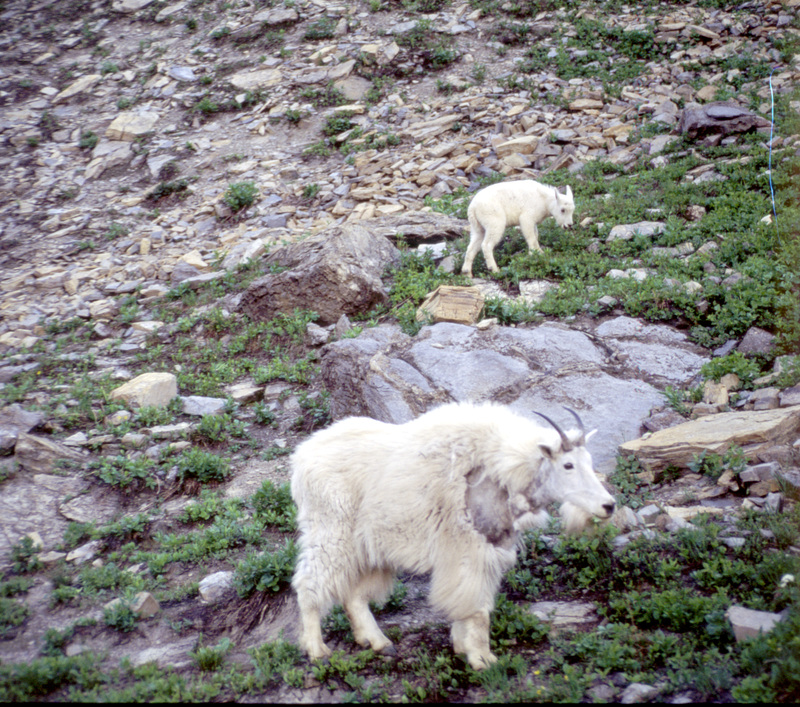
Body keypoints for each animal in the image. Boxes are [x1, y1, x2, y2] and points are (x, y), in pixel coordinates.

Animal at [290, 402, 616, 672]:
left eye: (589, 461)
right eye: (568, 465)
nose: (608, 505)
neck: (501, 474)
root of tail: (302, 458)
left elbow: (471, 604)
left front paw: (462, 647)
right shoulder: (469, 550)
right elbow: (478, 608)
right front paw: (483, 659)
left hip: (370, 546)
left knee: (355, 594)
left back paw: (378, 642)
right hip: (331, 531)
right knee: (309, 583)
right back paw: (316, 649)